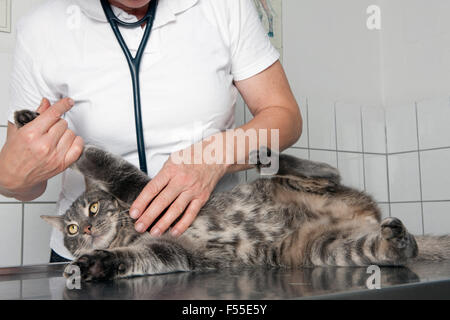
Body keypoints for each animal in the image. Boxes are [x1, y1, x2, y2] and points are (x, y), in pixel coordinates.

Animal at [14, 109, 450, 280]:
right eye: (71, 229)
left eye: (92, 206)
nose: (87, 230)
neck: (129, 231)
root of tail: (367, 215)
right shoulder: (174, 253)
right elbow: (133, 258)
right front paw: (95, 264)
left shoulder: (138, 185)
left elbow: (94, 157)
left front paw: (39, 123)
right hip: (324, 249)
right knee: (394, 249)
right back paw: (396, 238)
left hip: (301, 185)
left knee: (327, 170)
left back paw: (268, 154)